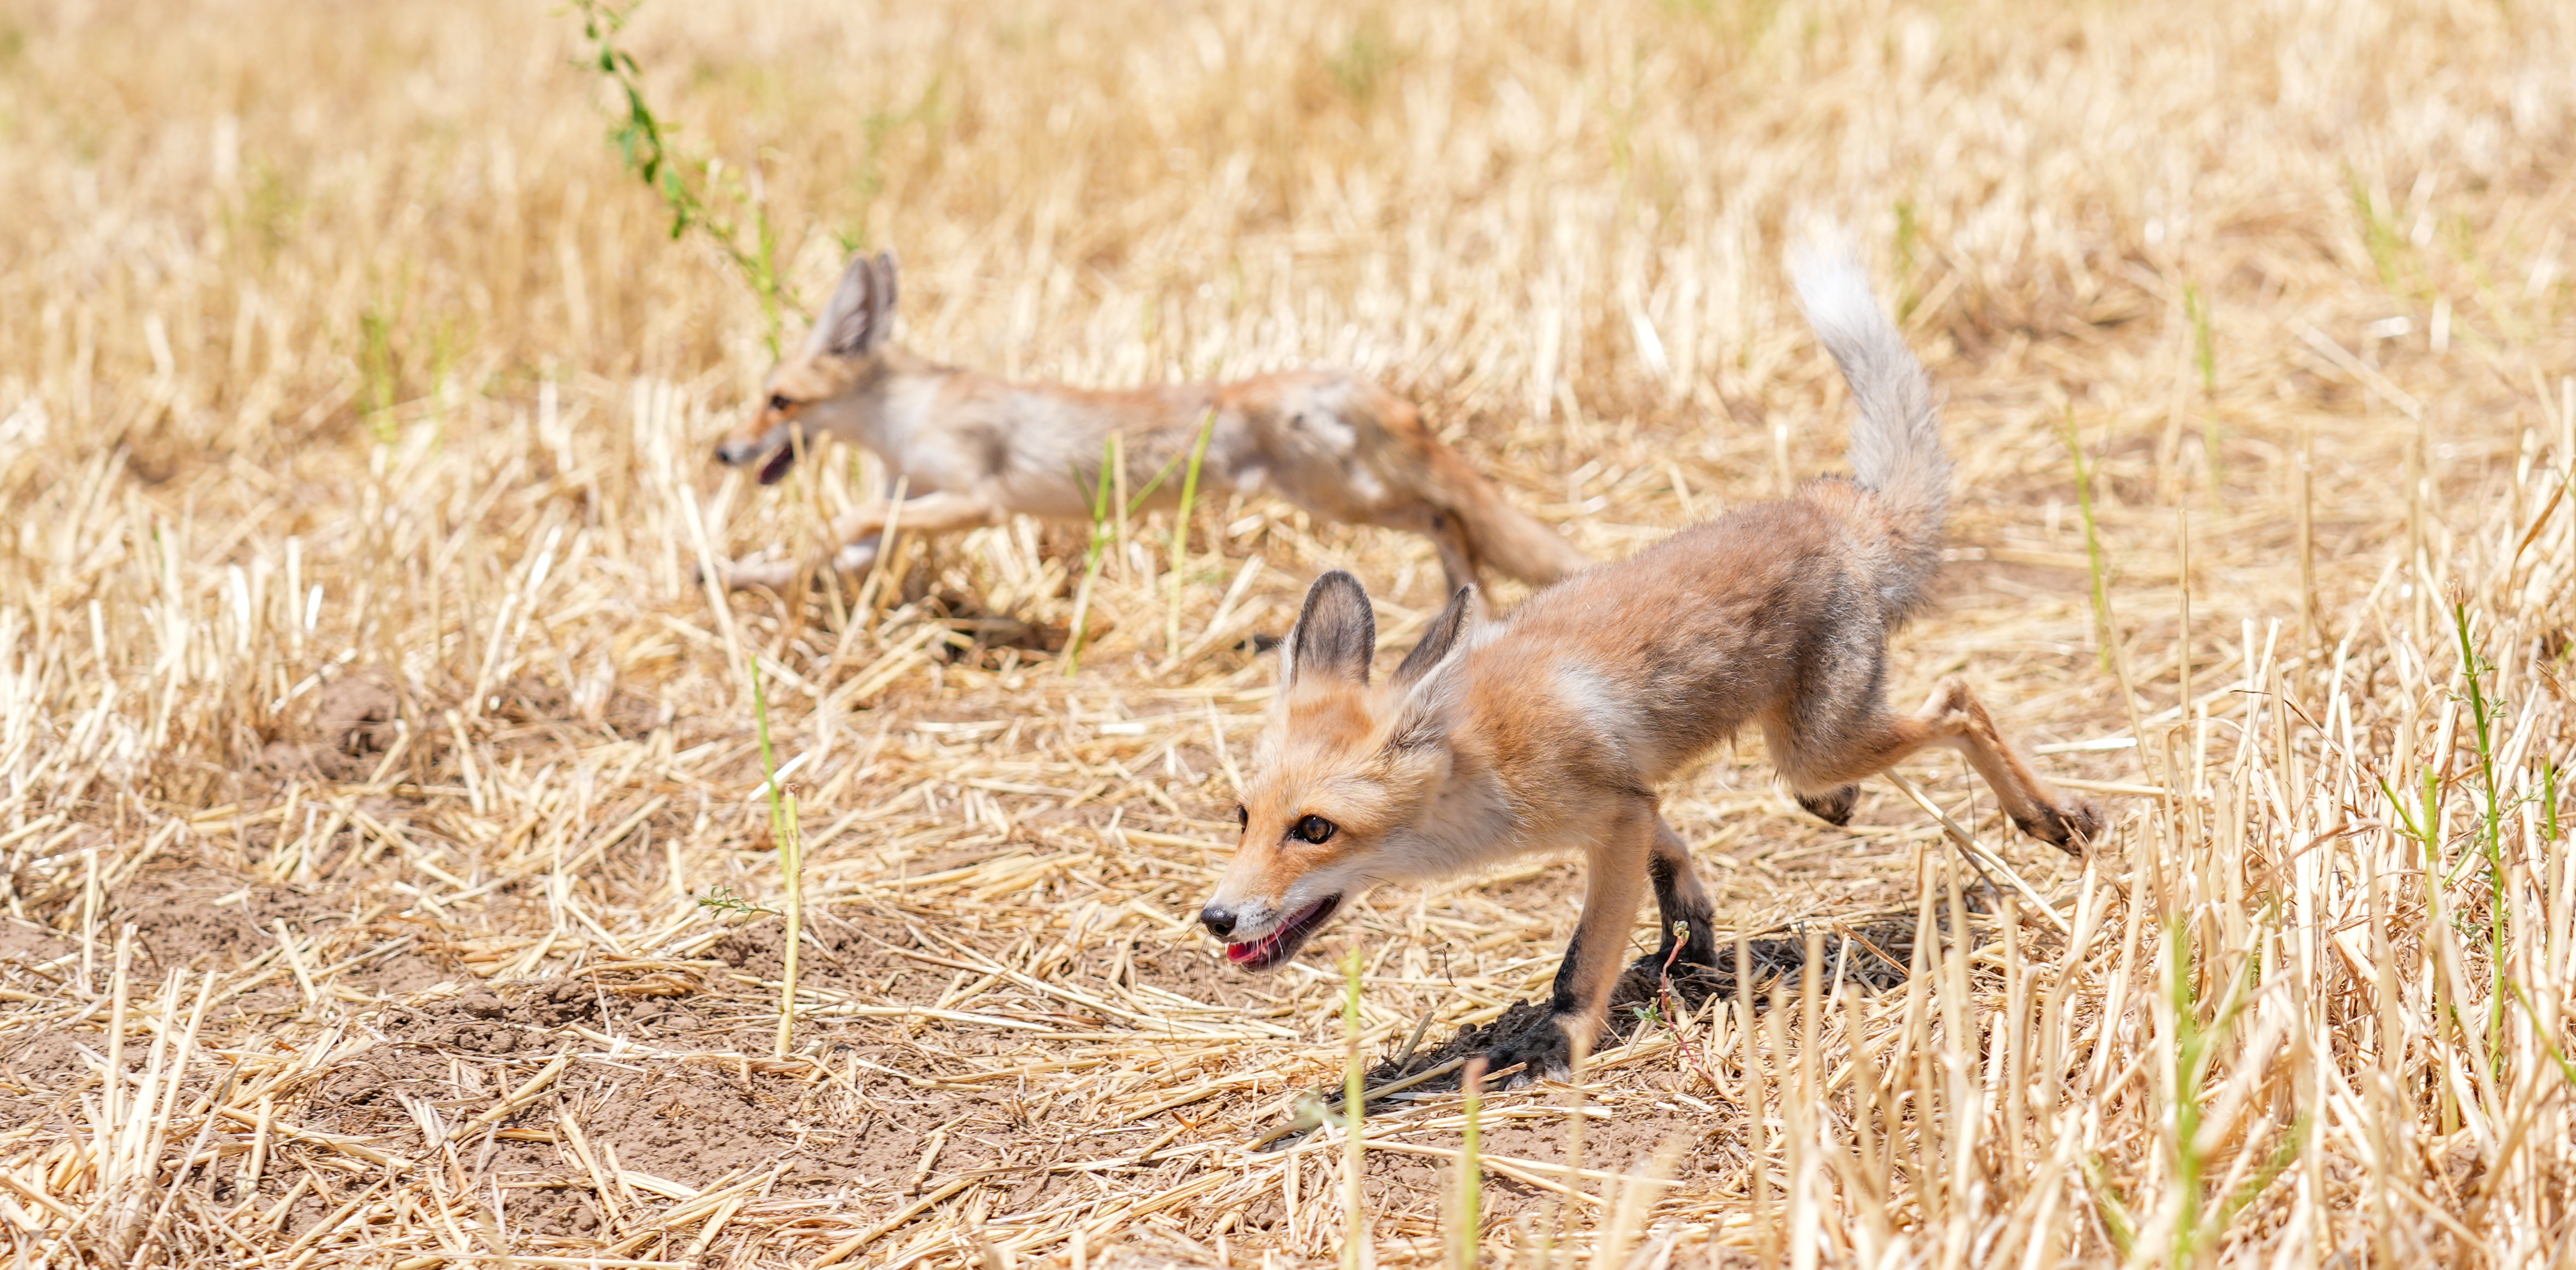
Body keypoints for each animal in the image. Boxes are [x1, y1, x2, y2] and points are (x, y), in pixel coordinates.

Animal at [711, 256, 1586, 600]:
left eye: (777, 402)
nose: (722, 450)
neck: (905, 416)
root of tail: (1361, 381)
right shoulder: (910, 498)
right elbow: (828, 553)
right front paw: (735, 575)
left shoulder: (977, 501)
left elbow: (848, 521)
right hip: (1340, 497)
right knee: (1454, 516)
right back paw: (1467, 597)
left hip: (1345, 497)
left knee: (1451, 513)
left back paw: (1472, 593)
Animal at [1195, 235, 2102, 1071]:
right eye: (1243, 818)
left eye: (1314, 828)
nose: (1214, 918)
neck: (1481, 761)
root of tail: (1835, 508)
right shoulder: (1631, 800)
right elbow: (1670, 842)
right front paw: (1687, 914)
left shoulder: (1609, 817)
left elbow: (1582, 960)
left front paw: (1559, 1041)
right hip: (1813, 742)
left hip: (1815, 743)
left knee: (1959, 700)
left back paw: (2049, 816)